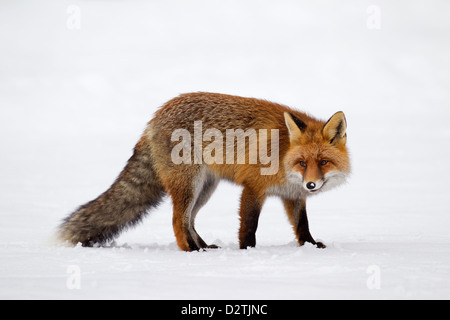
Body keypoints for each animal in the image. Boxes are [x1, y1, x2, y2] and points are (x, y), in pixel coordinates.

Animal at [58, 92, 350, 250]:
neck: (281, 154)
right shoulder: (253, 187)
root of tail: (154, 118)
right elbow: (249, 226)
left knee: (189, 221)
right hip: (190, 185)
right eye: (302, 163)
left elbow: (302, 225)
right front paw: (248, 252)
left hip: (205, 188)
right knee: (178, 221)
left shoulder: (292, 195)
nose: (311, 185)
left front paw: (310, 246)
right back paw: (190, 251)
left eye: (323, 162)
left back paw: (203, 247)